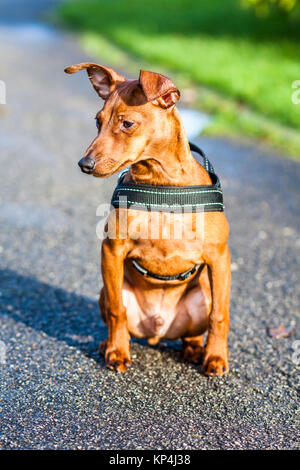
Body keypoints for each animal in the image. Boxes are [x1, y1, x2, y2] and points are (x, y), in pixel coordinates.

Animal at [64, 63, 231, 378]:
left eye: (127, 124)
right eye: (97, 121)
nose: (84, 164)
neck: (160, 184)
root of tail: (158, 330)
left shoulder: (219, 257)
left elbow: (220, 316)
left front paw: (216, 356)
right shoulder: (112, 252)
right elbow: (117, 312)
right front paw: (117, 351)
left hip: (202, 296)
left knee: (194, 332)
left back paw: (195, 349)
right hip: (106, 291)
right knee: (117, 315)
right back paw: (108, 344)